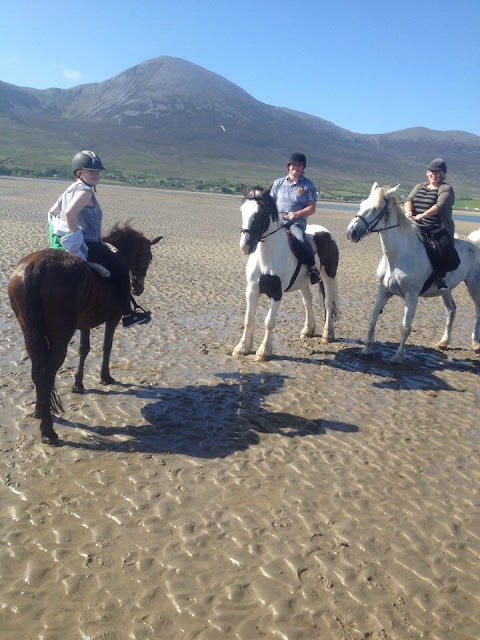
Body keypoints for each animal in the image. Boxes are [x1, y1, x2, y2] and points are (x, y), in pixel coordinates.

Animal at [7, 222, 161, 442]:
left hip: (30, 334)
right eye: (148, 256)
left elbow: (84, 349)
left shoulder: (85, 323)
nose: (138, 288)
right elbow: (107, 347)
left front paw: (78, 385)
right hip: (61, 336)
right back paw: (48, 431)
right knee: (47, 373)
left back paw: (39, 411)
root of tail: (37, 266)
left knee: (37, 370)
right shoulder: (113, 319)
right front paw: (105, 377)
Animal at [233, 185, 340, 360]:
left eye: (261, 213)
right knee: (308, 301)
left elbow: (269, 322)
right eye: (243, 211)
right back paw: (308, 331)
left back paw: (327, 335)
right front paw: (242, 348)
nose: (245, 246)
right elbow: (248, 319)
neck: (266, 257)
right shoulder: (252, 290)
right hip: (303, 282)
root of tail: (325, 232)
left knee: (328, 303)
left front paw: (263, 351)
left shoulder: (277, 293)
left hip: (329, 276)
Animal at [346, 182, 480, 362]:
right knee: (451, 310)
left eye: (374, 208)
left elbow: (405, 327)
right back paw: (444, 342)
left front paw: (398, 357)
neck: (399, 256)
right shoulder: (383, 290)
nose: (351, 233)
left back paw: (476, 343)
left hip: (474, 286)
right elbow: (372, 319)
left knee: (477, 311)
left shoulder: (411, 296)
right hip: (446, 290)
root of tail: (474, 244)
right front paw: (366, 349)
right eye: (361, 205)